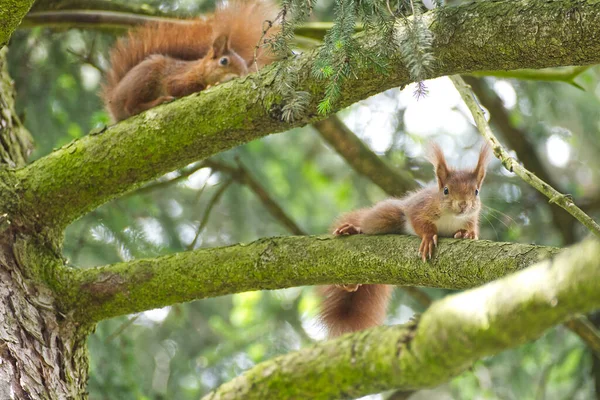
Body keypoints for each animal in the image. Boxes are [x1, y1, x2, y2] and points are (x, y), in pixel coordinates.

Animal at [102, 0, 280, 122]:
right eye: (224, 61)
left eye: (244, 65)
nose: (240, 74)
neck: (199, 69)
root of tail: (114, 99)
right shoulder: (177, 78)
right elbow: (177, 87)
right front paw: (210, 85)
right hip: (144, 79)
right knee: (132, 107)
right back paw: (158, 101)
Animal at [322, 144, 490, 338]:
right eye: (446, 190)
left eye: (476, 192)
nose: (463, 205)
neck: (452, 217)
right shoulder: (420, 208)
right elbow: (418, 222)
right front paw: (427, 238)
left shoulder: (471, 220)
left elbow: (472, 231)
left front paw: (466, 234)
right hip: (389, 216)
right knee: (370, 224)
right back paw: (354, 229)